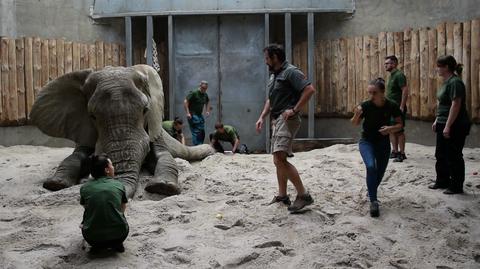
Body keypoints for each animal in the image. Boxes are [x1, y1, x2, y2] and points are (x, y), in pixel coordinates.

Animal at [30, 63, 216, 196]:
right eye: (92, 116)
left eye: (145, 110)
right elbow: (76, 155)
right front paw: (55, 183)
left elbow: (165, 156)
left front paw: (163, 187)